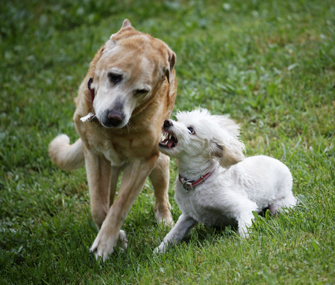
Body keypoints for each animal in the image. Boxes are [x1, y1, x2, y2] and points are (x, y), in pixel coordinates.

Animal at [49, 19, 178, 260]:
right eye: (114, 76)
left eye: (141, 90)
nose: (115, 117)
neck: (113, 133)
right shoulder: (94, 155)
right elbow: (99, 208)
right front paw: (116, 239)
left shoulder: (143, 161)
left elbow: (120, 206)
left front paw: (106, 242)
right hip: (109, 169)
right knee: (106, 198)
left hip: (158, 164)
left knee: (161, 193)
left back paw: (165, 219)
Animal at [155, 108, 296, 253]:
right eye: (178, 120)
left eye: (191, 130)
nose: (166, 122)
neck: (198, 180)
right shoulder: (188, 216)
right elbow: (172, 235)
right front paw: (158, 252)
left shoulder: (244, 207)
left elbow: (244, 229)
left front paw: (245, 245)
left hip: (280, 205)